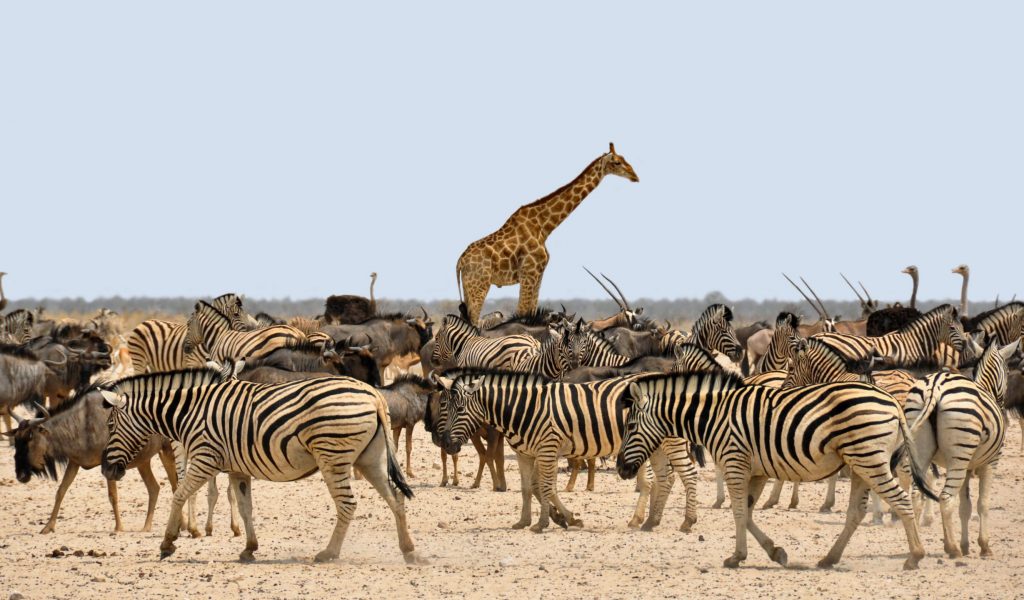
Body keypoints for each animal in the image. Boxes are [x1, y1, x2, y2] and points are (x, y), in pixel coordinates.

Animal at [98, 367, 420, 564]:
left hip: (333, 456)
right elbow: (245, 507)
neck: (190, 411)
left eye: (111, 426)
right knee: (396, 498)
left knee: (348, 505)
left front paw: (167, 543)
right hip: (371, 458)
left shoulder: (204, 458)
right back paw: (409, 551)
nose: (106, 470)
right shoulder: (237, 468)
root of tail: (373, 394)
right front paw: (249, 549)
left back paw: (329, 553)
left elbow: (179, 495)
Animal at [616, 370, 937, 570]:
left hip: (869, 458)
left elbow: (738, 512)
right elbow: (747, 513)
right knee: (856, 512)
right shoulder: (755, 471)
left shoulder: (734, 462)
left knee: (902, 500)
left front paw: (736, 556)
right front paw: (775, 552)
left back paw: (915, 556)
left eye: (630, 426)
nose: (620, 469)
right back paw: (829, 558)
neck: (714, 415)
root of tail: (893, 401)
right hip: (859, 462)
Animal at [904, 338, 1018, 558]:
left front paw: (966, 545)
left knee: (915, 496)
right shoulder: (990, 463)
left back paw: (918, 546)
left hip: (922, 450)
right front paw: (983, 546)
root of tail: (935, 387)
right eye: (1007, 370)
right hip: (959, 454)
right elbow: (982, 504)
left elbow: (965, 507)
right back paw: (952, 548)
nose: (1003, 405)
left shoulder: (966, 468)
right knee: (946, 498)